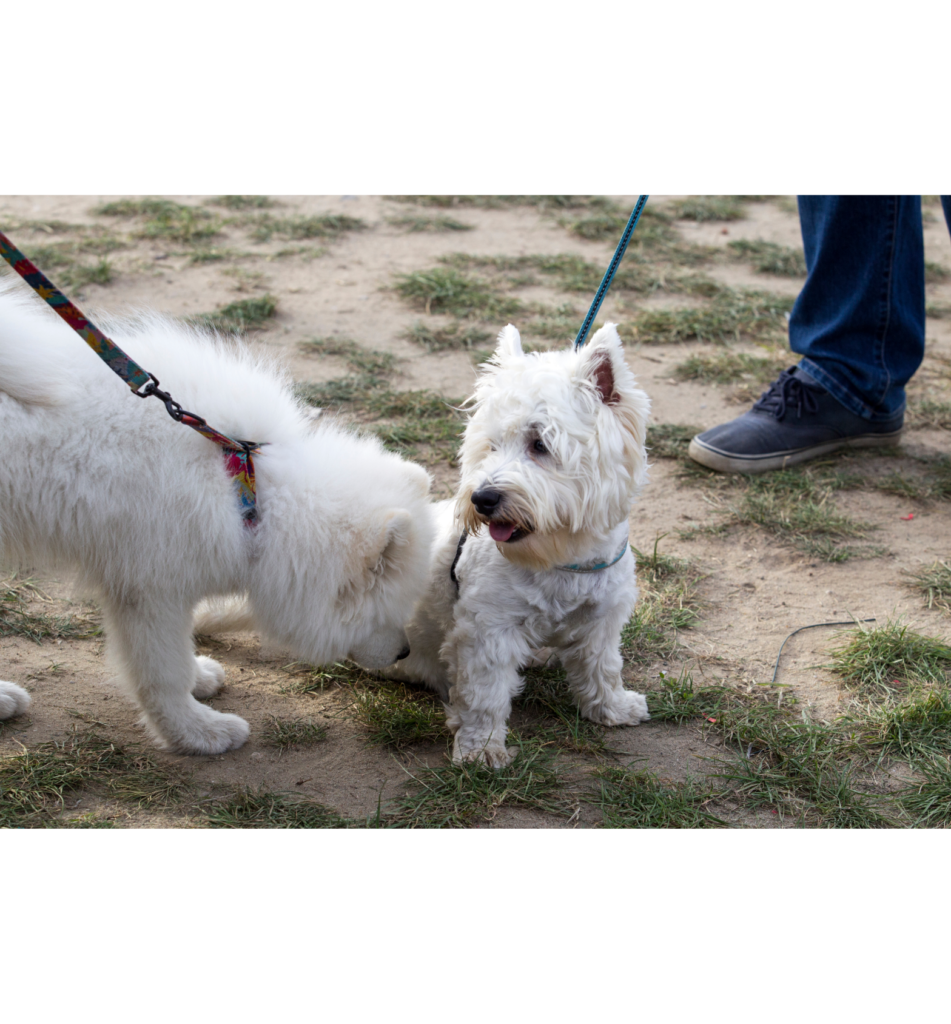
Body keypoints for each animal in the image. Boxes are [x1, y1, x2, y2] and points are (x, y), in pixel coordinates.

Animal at [0, 284, 429, 757]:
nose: (404, 652)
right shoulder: (150, 588)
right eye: (388, 608)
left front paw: (199, 679)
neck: (246, 488)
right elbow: (161, 671)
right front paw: (197, 733)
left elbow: (176, 656)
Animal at [384, 323, 655, 765]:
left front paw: (613, 709)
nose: (482, 499)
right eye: (490, 446)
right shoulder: (489, 631)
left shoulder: (602, 619)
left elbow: (603, 666)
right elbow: (484, 697)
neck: (560, 558)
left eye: (540, 444)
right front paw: (481, 752)